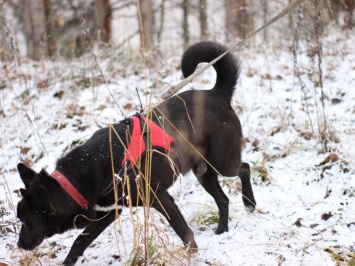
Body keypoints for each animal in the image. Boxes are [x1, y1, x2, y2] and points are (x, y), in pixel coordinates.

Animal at [16, 41, 258, 264]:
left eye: (26, 222)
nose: (19, 245)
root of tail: (217, 93)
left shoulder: (158, 196)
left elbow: (182, 230)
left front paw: (192, 256)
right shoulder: (111, 211)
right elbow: (80, 240)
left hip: (221, 161)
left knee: (245, 168)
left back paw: (249, 202)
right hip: (203, 172)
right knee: (223, 199)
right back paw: (222, 230)